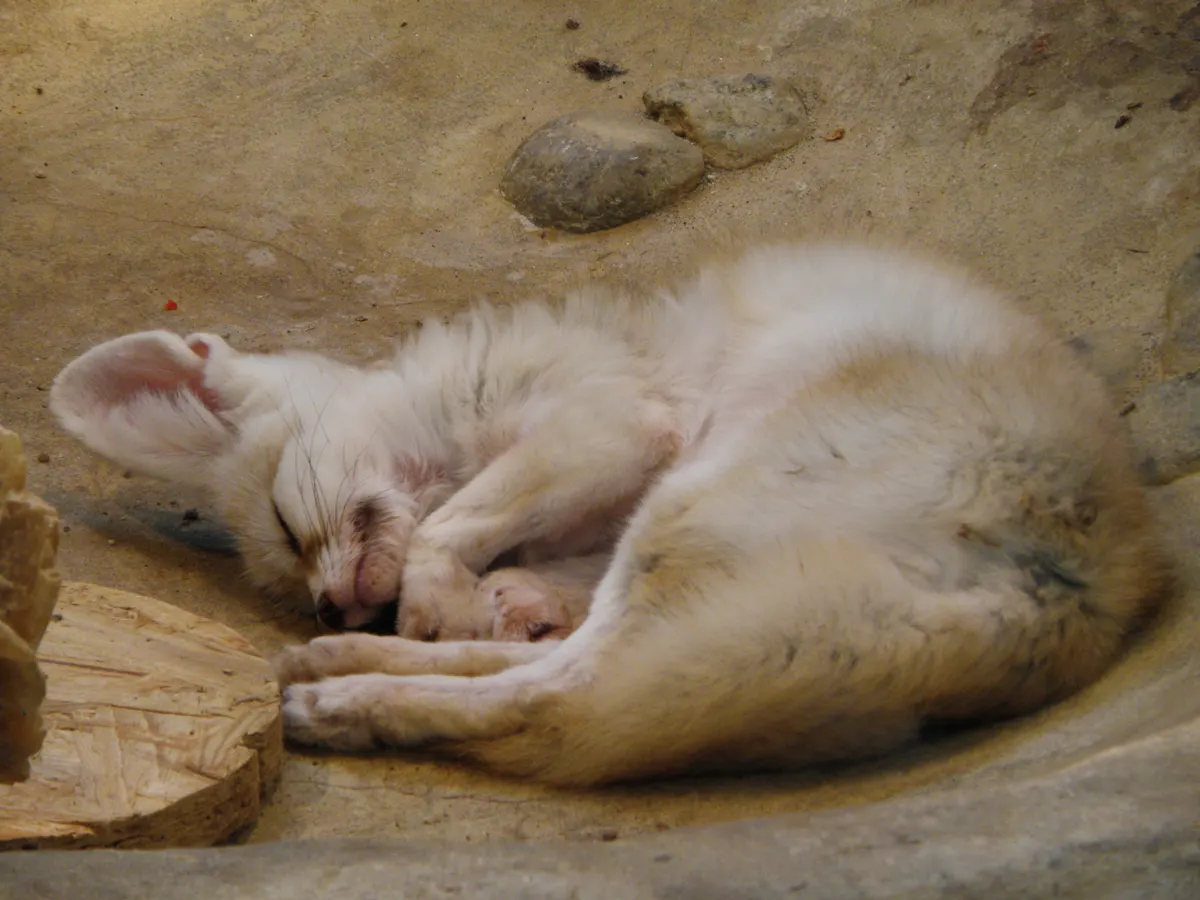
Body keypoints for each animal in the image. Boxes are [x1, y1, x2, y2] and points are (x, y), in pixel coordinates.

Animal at [50, 240, 1172, 786]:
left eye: (288, 525)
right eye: (288, 572)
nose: (331, 609)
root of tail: (1070, 598)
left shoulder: (617, 425)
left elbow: (452, 529)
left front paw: (438, 596)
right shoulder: (596, 504)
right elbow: (513, 584)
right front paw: (480, 604)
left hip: (694, 494)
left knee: (571, 692)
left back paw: (348, 696)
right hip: (690, 528)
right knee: (579, 665)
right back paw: (347, 673)